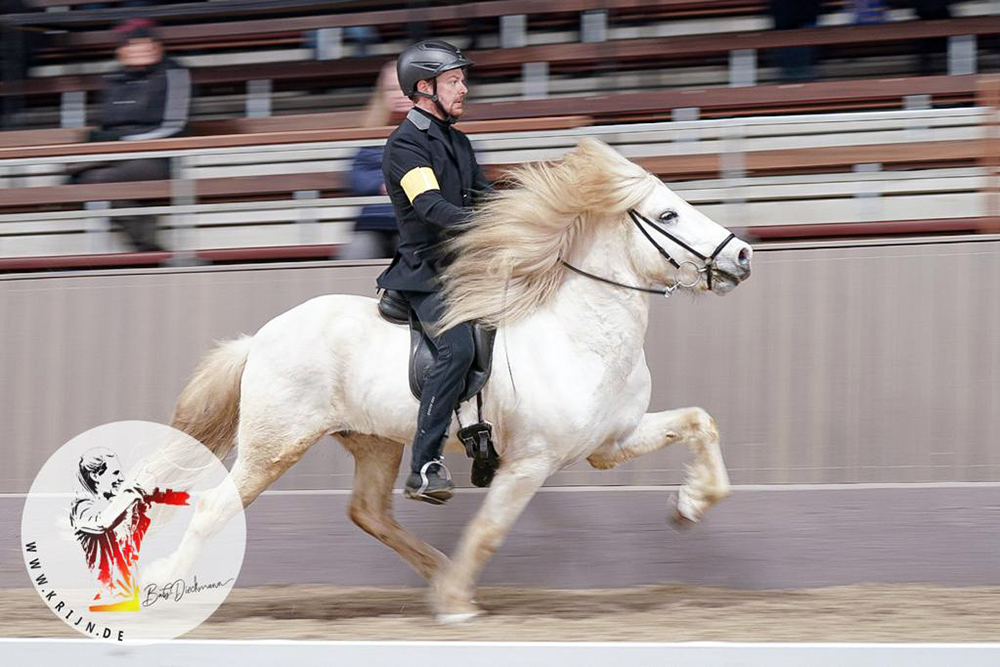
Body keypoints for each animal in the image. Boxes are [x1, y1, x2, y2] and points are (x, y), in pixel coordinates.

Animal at [152, 138, 752, 624]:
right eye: (669, 215)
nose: (743, 255)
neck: (579, 334)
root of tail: (260, 338)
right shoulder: (530, 462)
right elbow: (488, 533)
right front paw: (457, 606)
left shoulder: (612, 442)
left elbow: (701, 422)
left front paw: (690, 505)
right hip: (274, 444)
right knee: (214, 507)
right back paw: (162, 590)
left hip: (375, 443)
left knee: (369, 512)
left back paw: (437, 570)